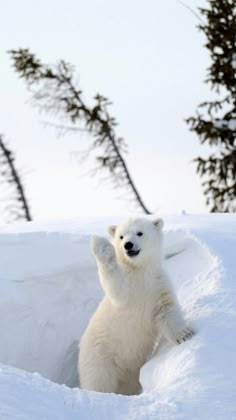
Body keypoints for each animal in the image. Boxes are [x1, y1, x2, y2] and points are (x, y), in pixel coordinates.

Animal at [78, 218, 193, 396]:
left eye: (140, 233)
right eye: (121, 236)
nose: (128, 245)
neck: (139, 271)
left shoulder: (157, 285)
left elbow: (167, 310)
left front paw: (184, 335)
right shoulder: (127, 289)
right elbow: (116, 287)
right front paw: (101, 245)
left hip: (129, 372)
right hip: (100, 356)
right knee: (99, 381)